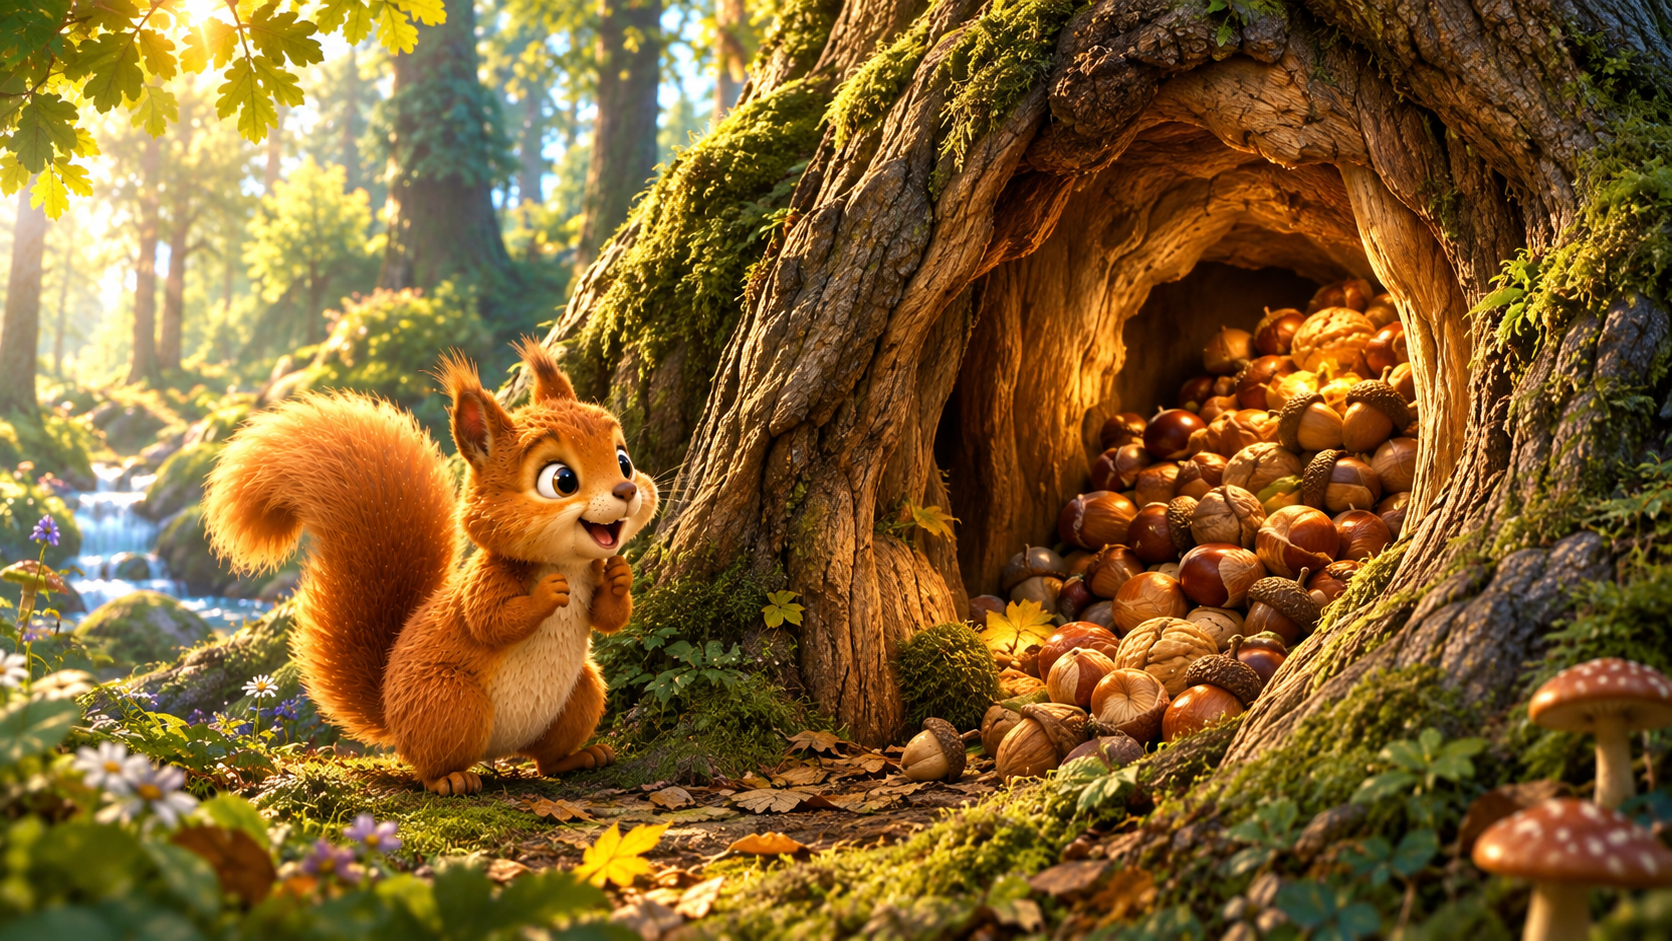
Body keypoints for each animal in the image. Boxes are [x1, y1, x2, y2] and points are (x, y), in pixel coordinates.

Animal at [202, 340, 657, 795]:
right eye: (562, 480)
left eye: (624, 461)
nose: (626, 489)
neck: (567, 562)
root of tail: (392, 718)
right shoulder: (486, 580)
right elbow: (489, 622)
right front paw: (548, 594)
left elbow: (607, 619)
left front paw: (620, 578)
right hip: (448, 701)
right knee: (429, 766)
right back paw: (452, 779)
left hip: (581, 692)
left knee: (545, 759)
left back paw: (578, 757)